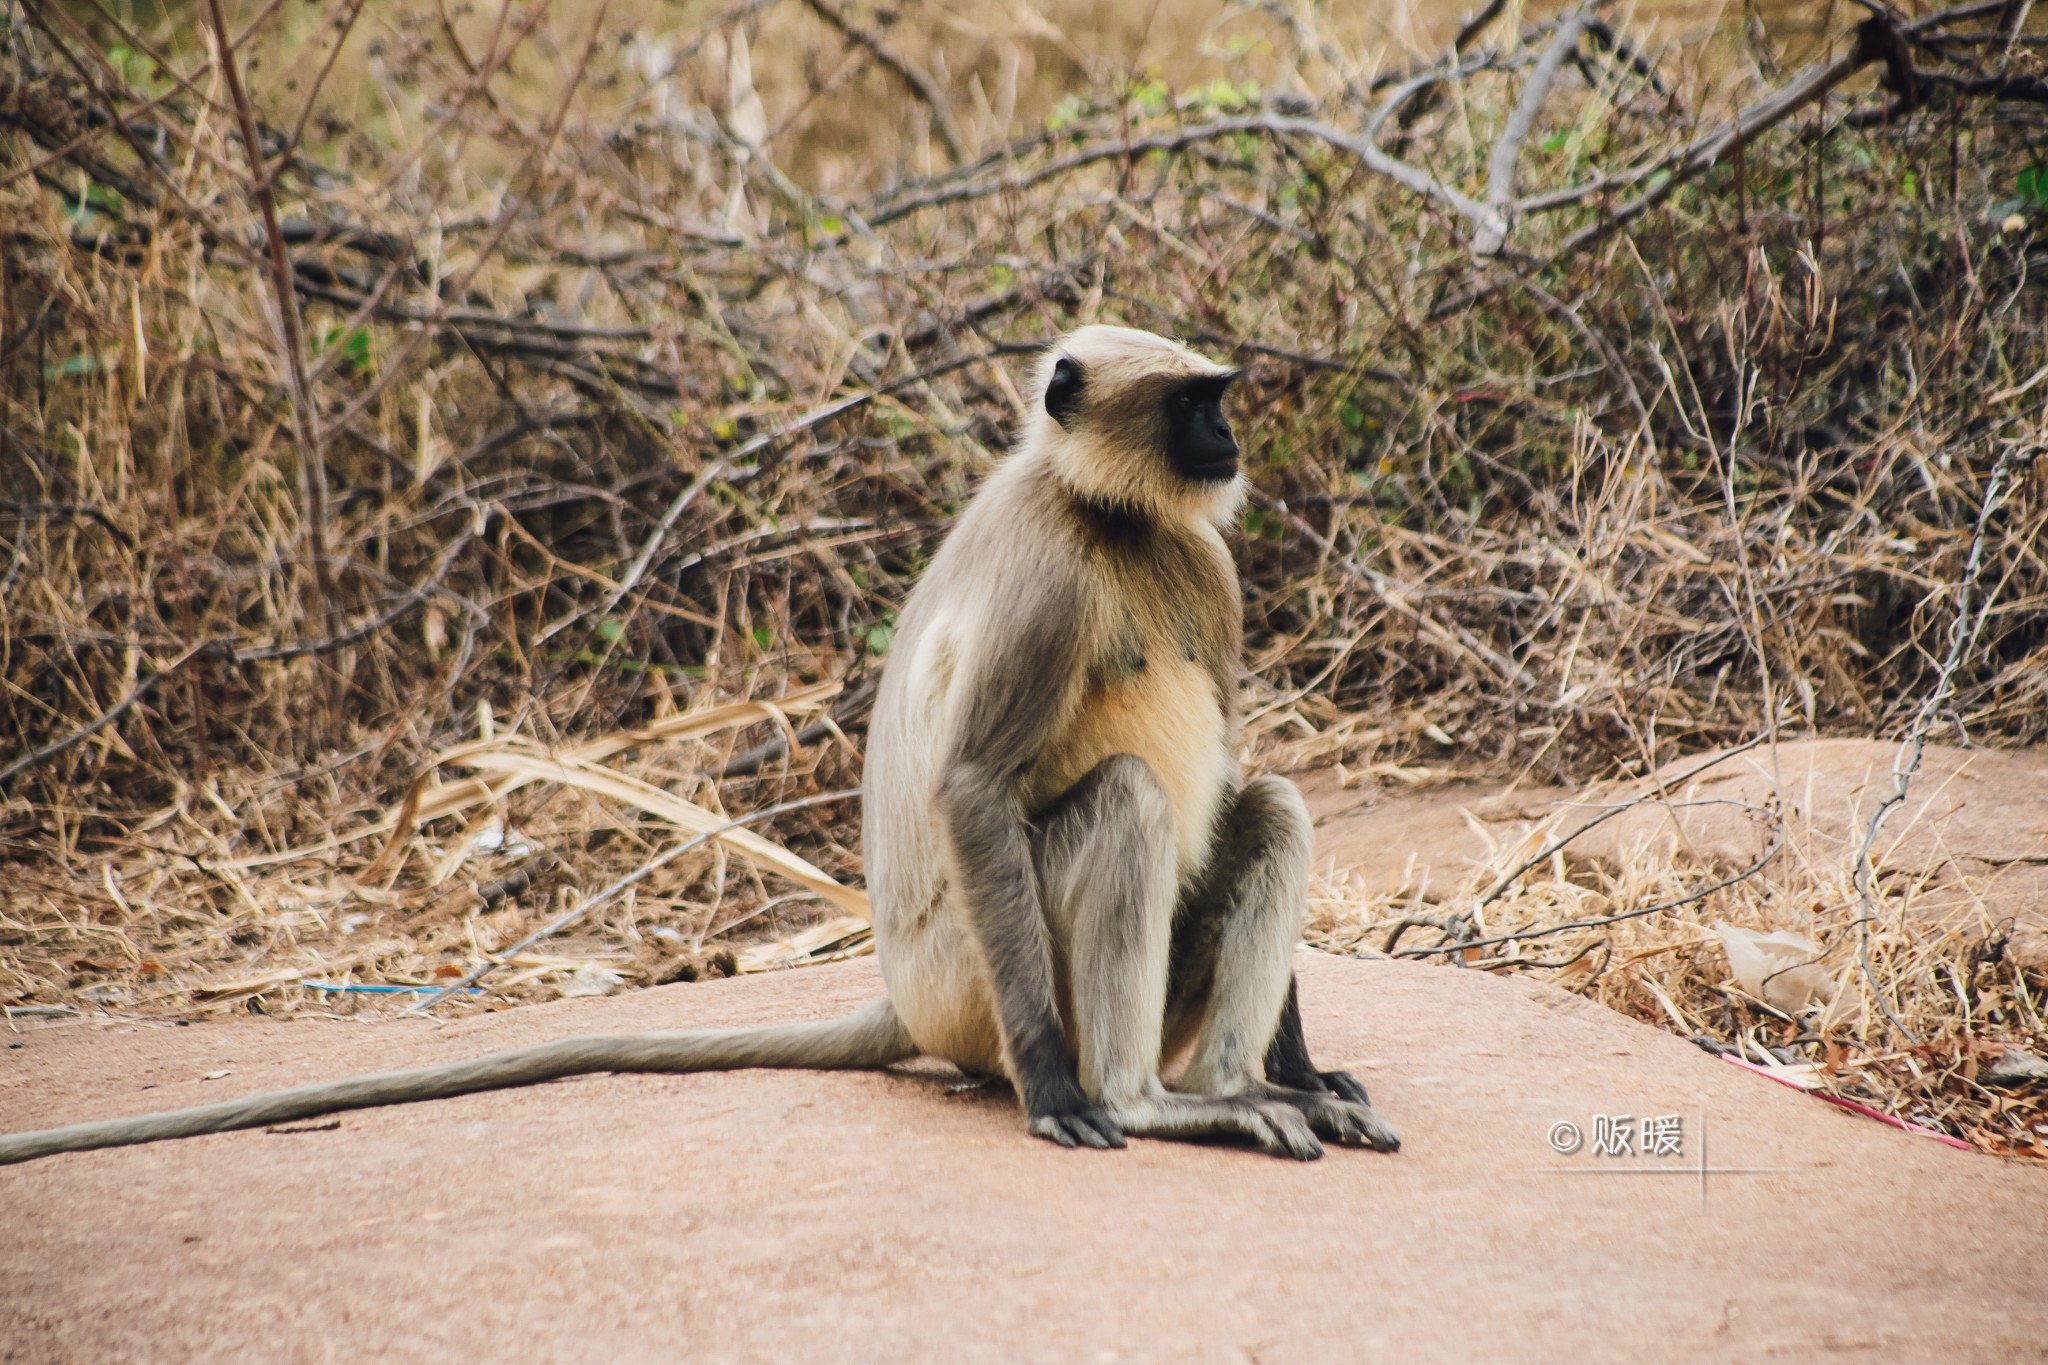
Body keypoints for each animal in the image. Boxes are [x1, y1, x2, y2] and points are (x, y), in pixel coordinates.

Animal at [0, 325, 1392, 1170]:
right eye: (1193, 405)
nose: (1228, 442)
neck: (1110, 518)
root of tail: (906, 992)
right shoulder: (1050, 577)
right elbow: (972, 782)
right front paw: (1060, 1093)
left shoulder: (1201, 558)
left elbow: (1235, 770)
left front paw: (1308, 1066)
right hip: (980, 985)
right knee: (1126, 805)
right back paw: (1151, 1102)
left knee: (1265, 804)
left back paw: (1254, 1083)